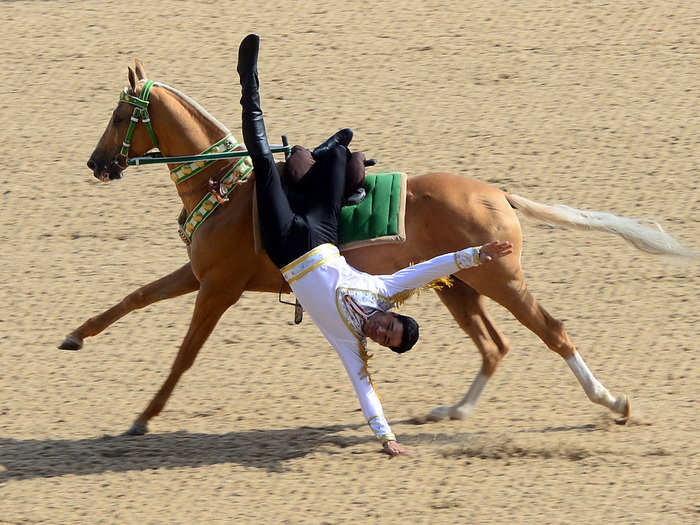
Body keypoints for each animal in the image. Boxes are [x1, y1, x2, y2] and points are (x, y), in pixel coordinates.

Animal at [68, 59, 692, 434]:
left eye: (120, 115)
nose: (97, 164)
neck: (230, 188)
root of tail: (498, 195)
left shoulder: (218, 288)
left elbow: (184, 355)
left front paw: (145, 416)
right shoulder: (200, 275)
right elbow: (134, 297)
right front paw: (75, 335)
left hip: (500, 280)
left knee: (552, 332)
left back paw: (612, 402)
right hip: (458, 285)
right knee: (494, 347)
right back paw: (455, 409)